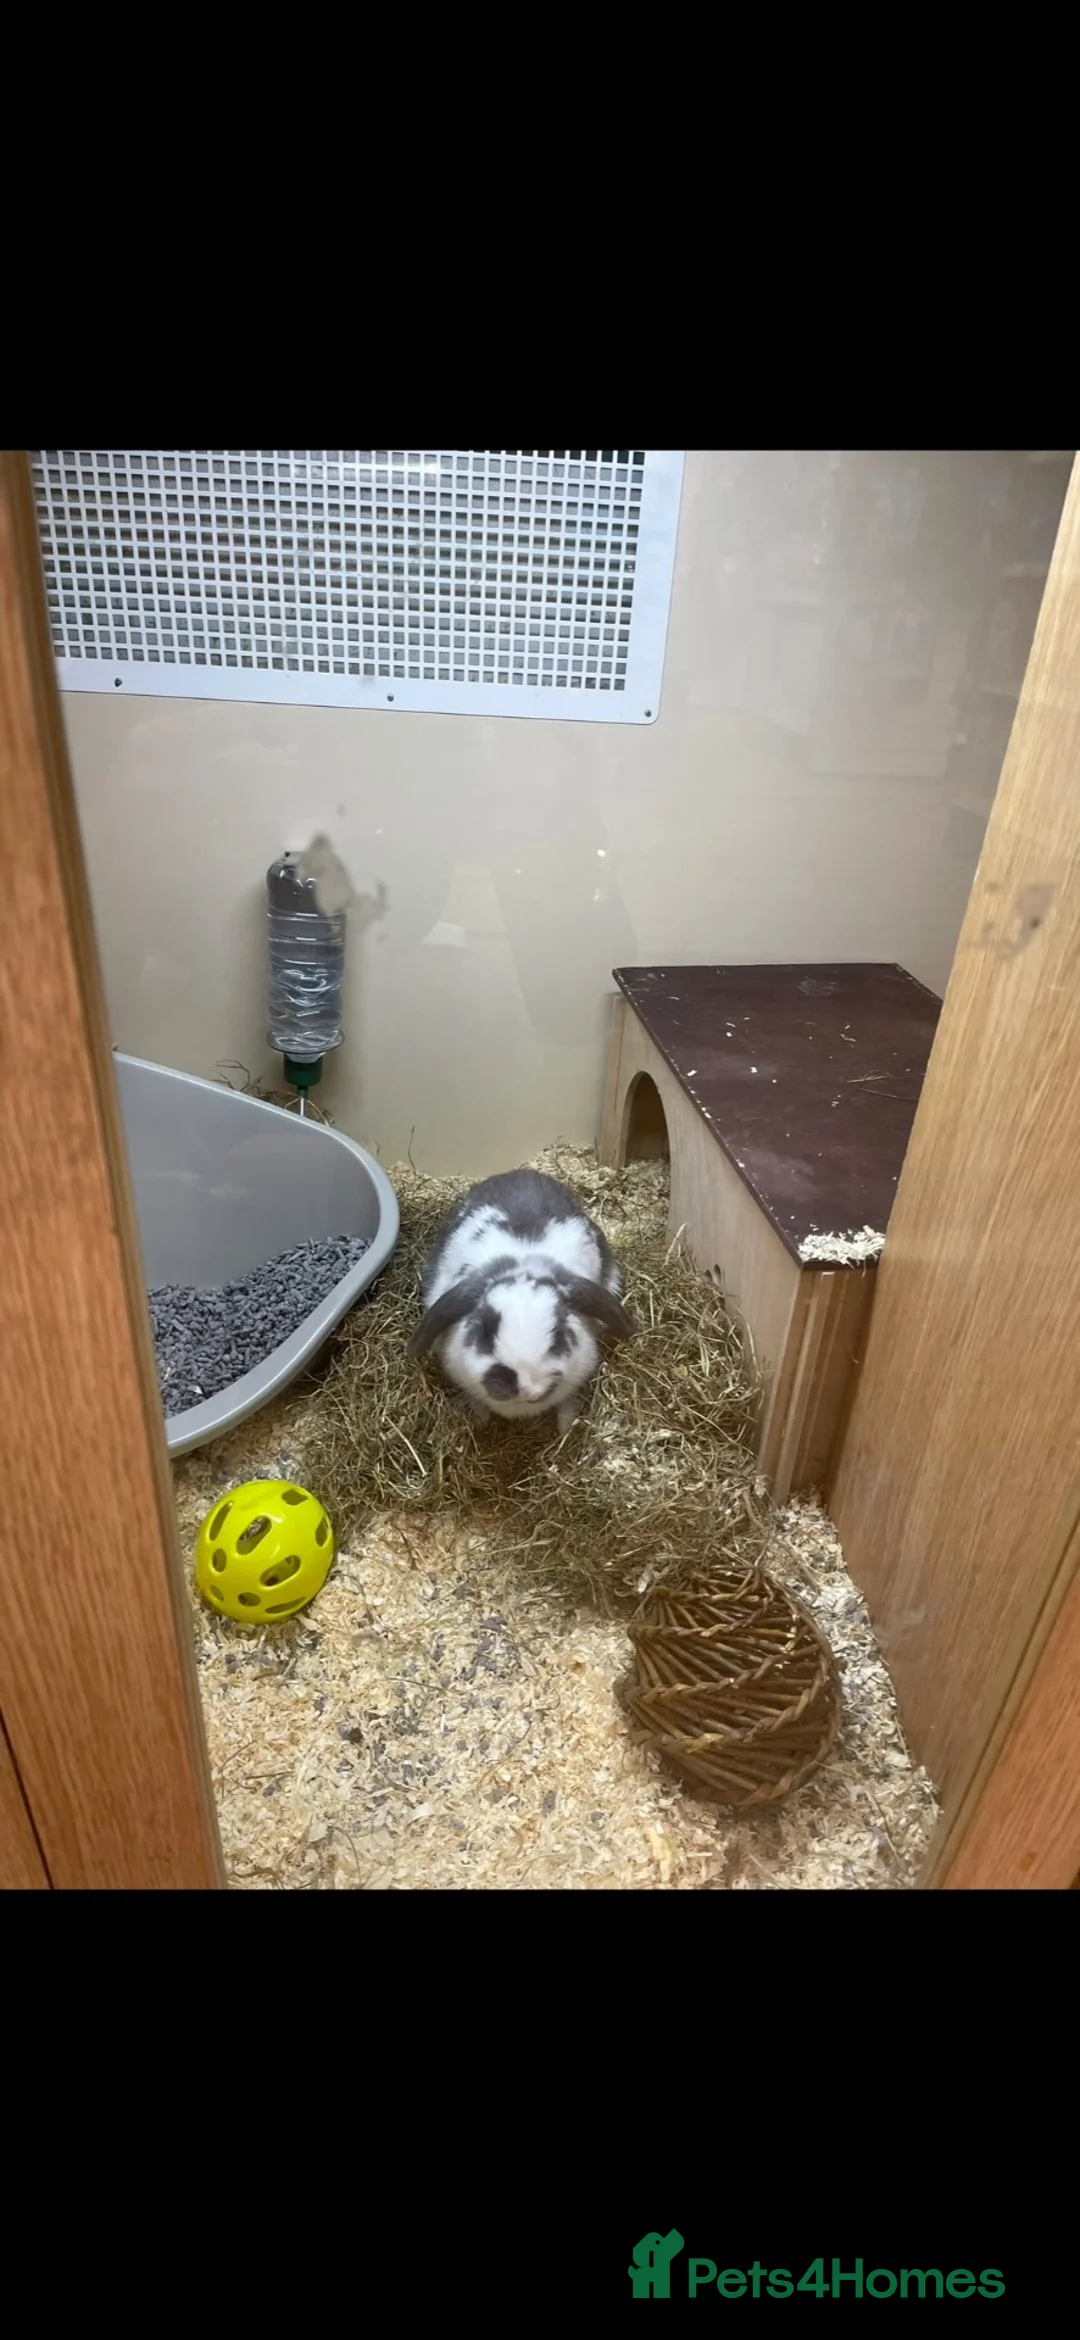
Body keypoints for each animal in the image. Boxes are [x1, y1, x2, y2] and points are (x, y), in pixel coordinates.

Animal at [407, 1168, 634, 1434]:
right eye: (485, 1330)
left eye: (558, 1334)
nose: (524, 1388)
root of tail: (524, 1171)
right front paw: (480, 1421)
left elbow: (567, 1402)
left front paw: (566, 1428)